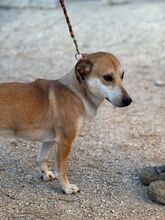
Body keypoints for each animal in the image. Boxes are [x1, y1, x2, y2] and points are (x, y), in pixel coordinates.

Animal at [0, 52, 164, 205]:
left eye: (122, 76)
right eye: (108, 77)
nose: (128, 101)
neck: (76, 93)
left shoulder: (50, 140)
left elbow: (42, 158)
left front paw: (45, 175)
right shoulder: (65, 141)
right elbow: (62, 170)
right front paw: (66, 188)